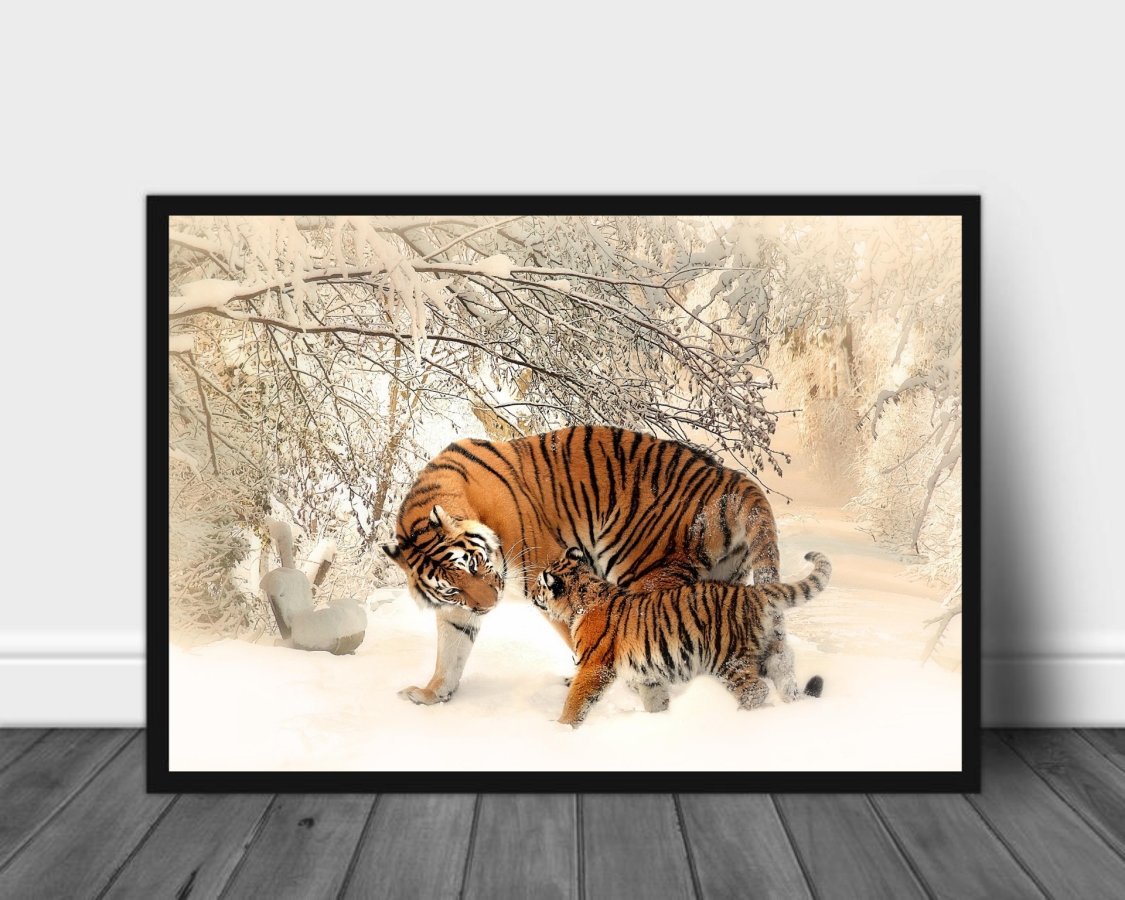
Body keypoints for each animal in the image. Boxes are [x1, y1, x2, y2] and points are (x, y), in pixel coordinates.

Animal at [382, 425, 780, 705]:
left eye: (477, 564)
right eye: (452, 587)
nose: (490, 606)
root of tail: (731, 477)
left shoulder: (546, 573)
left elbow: (577, 634)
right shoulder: (457, 609)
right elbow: (451, 651)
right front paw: (431, 694)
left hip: (645, 571)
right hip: (723, 580)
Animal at [531, 547, 831, 726]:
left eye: (539, 585)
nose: (532, 594)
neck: (583, 596)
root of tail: (754, 592)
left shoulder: (594, 667)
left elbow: (576, 700)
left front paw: (561, 729)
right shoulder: (648, 674)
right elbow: (655, 700)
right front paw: (660, 721)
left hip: (728, 659)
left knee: (756, 690)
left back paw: (738, 718)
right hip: (772, 652)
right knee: (785, 677)